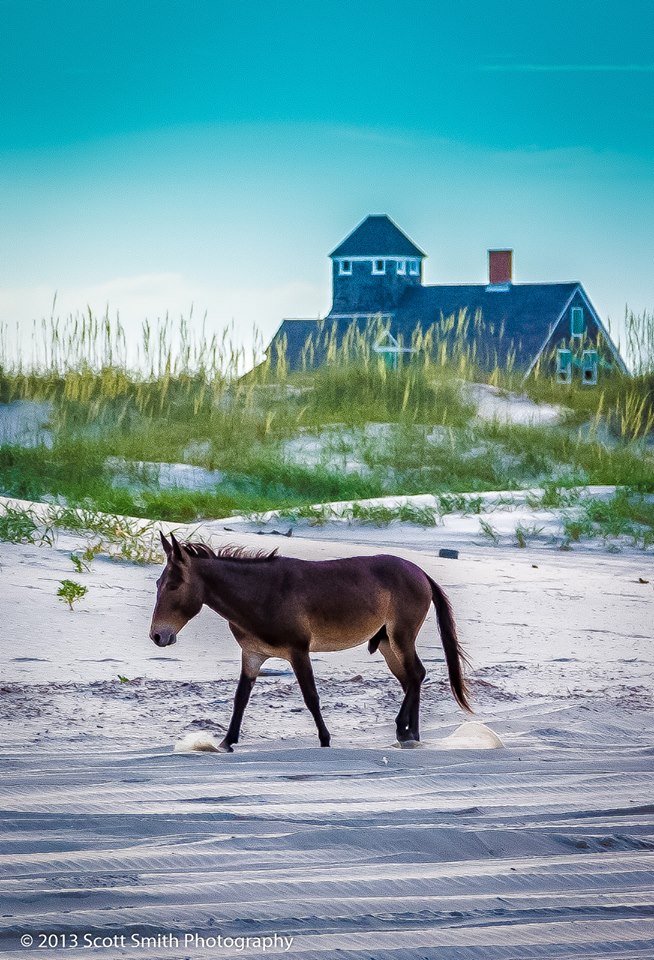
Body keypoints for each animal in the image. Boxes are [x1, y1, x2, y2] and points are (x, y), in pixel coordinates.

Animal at [151, 532, 474, 752]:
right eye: (158, 583)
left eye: (174, 585)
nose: (157, 636)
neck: (259, 593)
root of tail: (420, 572)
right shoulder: (252, 654)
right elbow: (240, 698)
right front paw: (227, 741)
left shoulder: (298, 651)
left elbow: (311, 697)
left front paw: (325, 739)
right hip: (386, 644)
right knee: (410, 680)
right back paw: (411, 735)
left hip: (401, 635)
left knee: (417, 674)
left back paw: (404, 731)